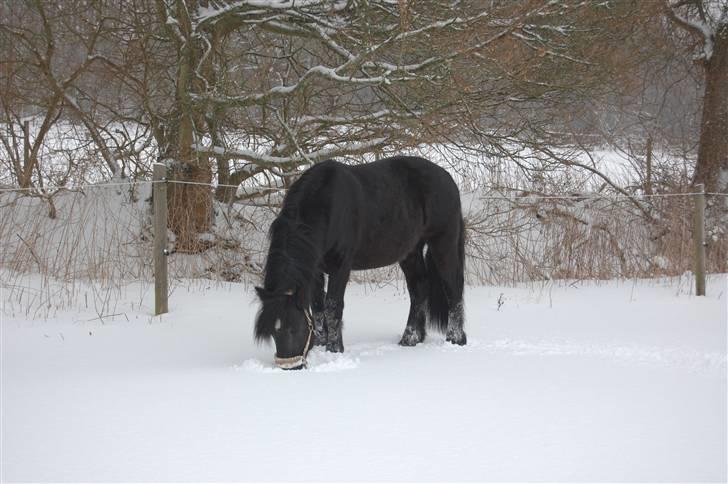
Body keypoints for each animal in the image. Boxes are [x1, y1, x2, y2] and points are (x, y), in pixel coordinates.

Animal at [253, 157, 464, 368]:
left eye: (294, 328)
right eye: (272, 332)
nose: (289, 366)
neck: (327, 206)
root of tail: (448, 178)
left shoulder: (341, 266)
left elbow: (332, 306)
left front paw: (334, 349)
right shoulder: (316, 270)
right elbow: (318, 307)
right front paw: (321, 343)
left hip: (442, 243)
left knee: (452, 288)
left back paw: (455, 339)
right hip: (410, 252)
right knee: (419, 289)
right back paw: (410, 339)